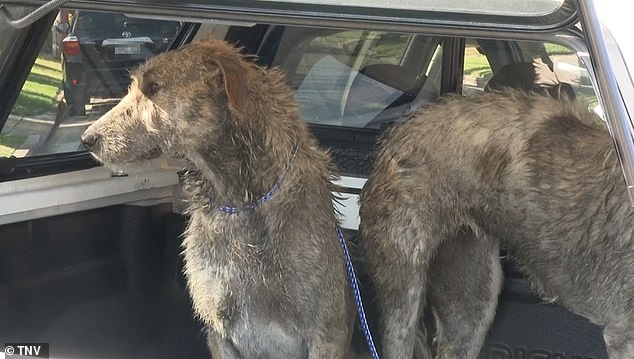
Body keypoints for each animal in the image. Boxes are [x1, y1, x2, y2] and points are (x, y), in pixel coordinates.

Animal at [79, 39, 354, 359]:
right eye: (134, 86)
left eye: (154, 87)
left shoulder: (326, 334)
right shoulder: (219, 328)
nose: (87, 139)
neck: (242, 202)